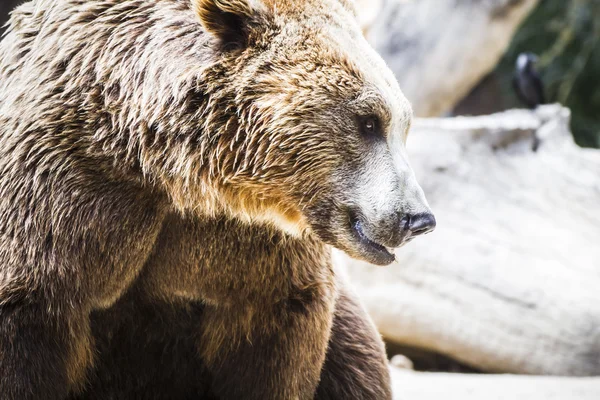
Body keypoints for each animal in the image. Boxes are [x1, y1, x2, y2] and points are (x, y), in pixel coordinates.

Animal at [0, 0, 434, 400]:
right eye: (369, 122)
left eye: (403, 124)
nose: (418, 218)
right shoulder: (65, 196)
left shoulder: (247, 247)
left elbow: (273, 340)